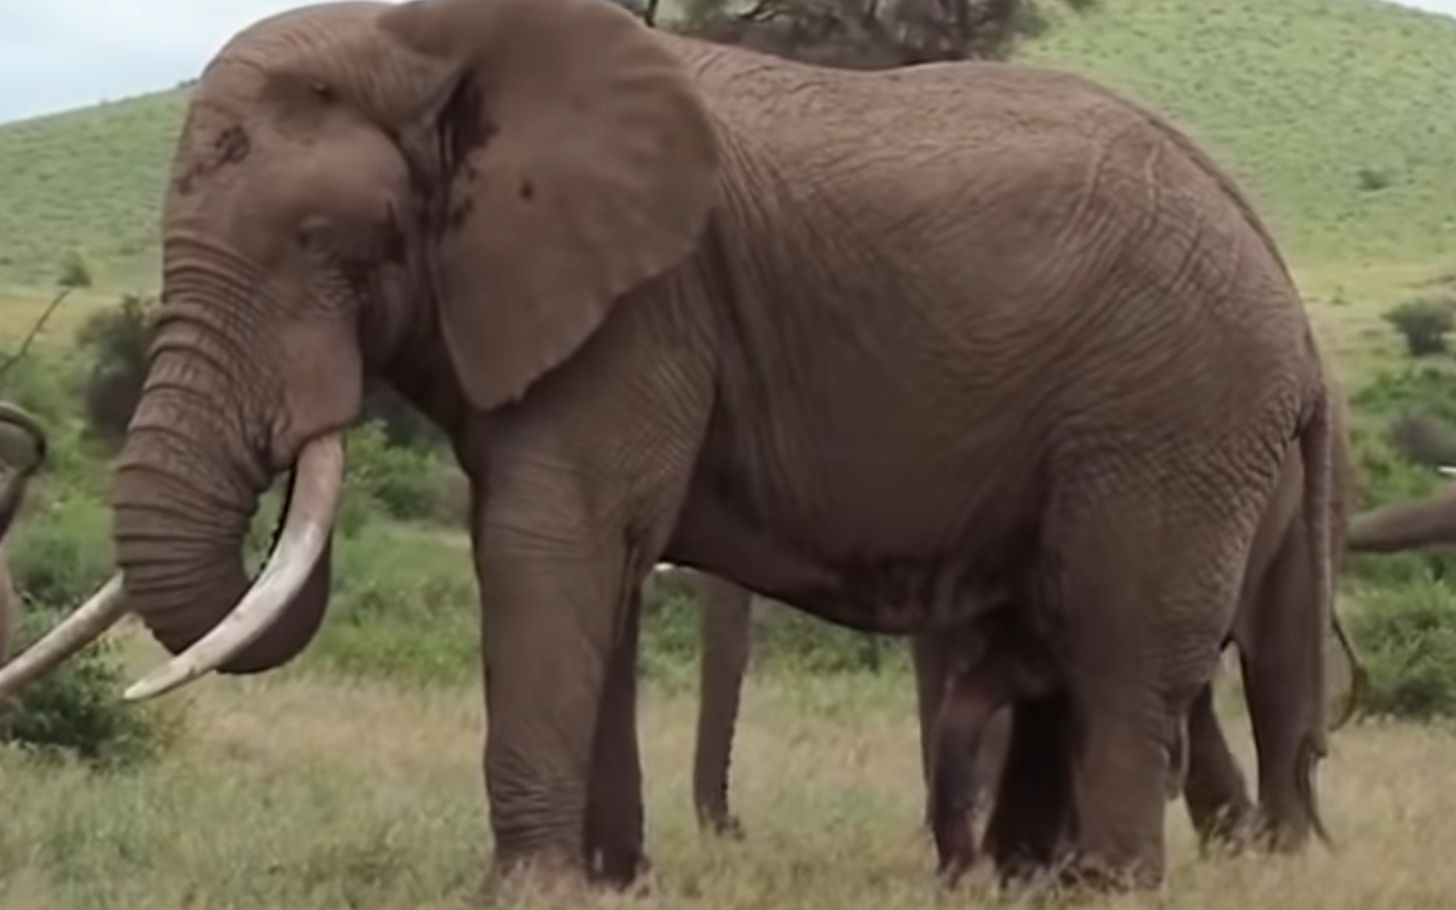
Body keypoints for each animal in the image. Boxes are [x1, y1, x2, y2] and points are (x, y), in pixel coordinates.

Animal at [0, 0, 1345, 896]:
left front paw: (527, 891)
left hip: (1170, 409)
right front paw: (606, 883)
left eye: (332, 242)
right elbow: (584, 560)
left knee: (1121, 652)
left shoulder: (645, 304)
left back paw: (1104, 887)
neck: (431, 38)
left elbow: (550, 538)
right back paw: (1025, 885)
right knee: (1063, 645)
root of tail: (1275, 270)